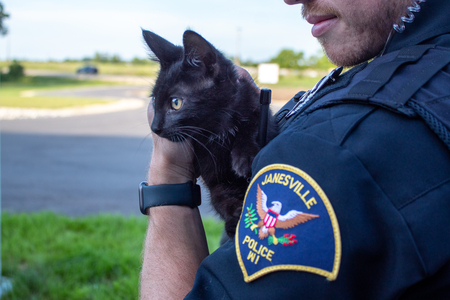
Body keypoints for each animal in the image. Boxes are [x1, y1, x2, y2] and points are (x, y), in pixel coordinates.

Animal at [142, 29, 276, 237]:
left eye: (176, 103)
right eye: (155, 99)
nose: (155, 127)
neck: (216, 125)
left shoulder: (255, 104)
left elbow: (251, 125)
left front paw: (244, 157)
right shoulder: (215, 180)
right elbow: (220, 198)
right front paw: (235, 218)